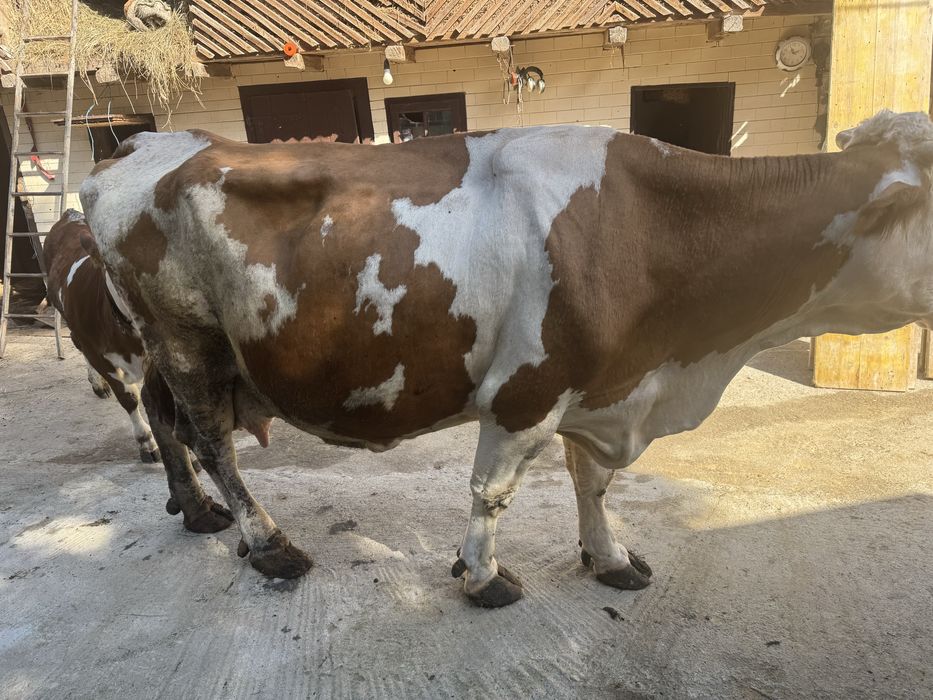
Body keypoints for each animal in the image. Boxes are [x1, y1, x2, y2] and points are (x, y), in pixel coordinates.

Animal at [44, 210, 234, 534]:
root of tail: (70, 215)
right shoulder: (102, 357)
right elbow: (130, 399)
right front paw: (147, 443)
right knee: (77, 344)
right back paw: (97, 384)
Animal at [79, 109, 933, 607]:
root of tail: (145, 138)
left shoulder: (600, 382)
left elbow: (592, 481)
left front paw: (607, 556)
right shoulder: (527, 388)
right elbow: (492, 493)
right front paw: (482, 575)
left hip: (177, 347)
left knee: (162, 416)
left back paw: (195, 511)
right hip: (185, 337)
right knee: (210, 438)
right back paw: (267, 544)